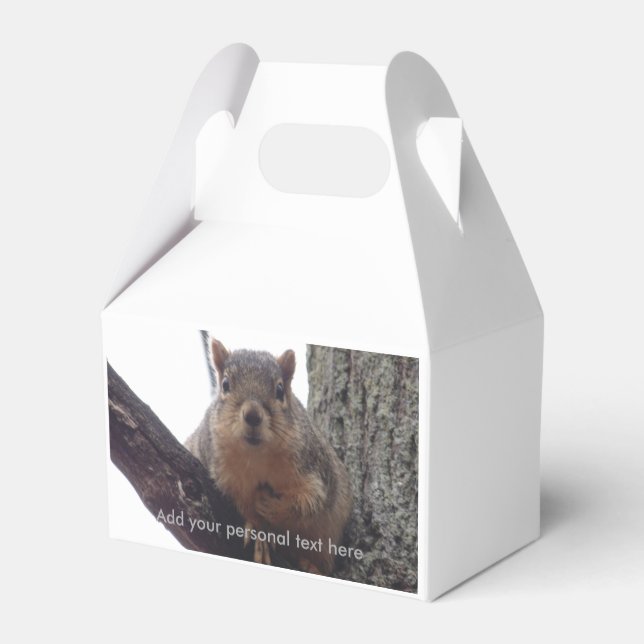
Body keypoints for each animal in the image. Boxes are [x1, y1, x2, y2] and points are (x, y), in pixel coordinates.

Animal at [185, 338, 352, 574]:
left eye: (280, 390)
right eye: (225, 384)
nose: (253, 415)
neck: (257, 456)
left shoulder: (314, 469)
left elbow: (309, 503)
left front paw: (271, 505)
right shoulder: (225, 477)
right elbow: (242, 506)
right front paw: (259, 532)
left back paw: (309, 564)